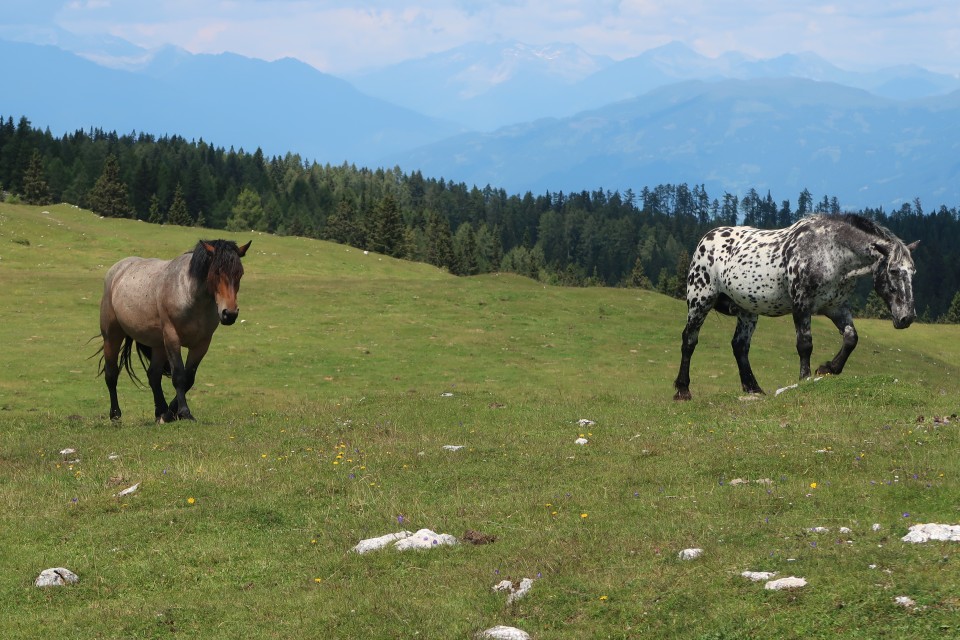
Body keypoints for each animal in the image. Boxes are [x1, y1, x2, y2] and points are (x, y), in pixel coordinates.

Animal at [98, 238, 251, 422]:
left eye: (240, 274)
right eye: (216, 272)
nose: (230, 314)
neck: (190, 296)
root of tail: (117, 270)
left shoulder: (202, 344)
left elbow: (189, 377)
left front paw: (171, 413)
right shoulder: (172, 338)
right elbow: (179, 375)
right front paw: (184, 412)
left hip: (158, 344)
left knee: (153, 375)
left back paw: (161, 412)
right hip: (112, 335)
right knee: (111, 373)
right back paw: (115, 414)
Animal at [672, 216, 920, 400]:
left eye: (913, 272)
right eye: (893, 270)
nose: (907, 317)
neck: (829, 251)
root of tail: (706, 239)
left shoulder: (836, 307)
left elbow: (851, 338)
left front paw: (828, 368)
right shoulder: (802, 306)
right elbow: (805, 345)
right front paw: (805, 378)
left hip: (747, 311)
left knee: (740, 346)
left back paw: (753, 388)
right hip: (700, 300)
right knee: (689, 340)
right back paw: (683, 390)